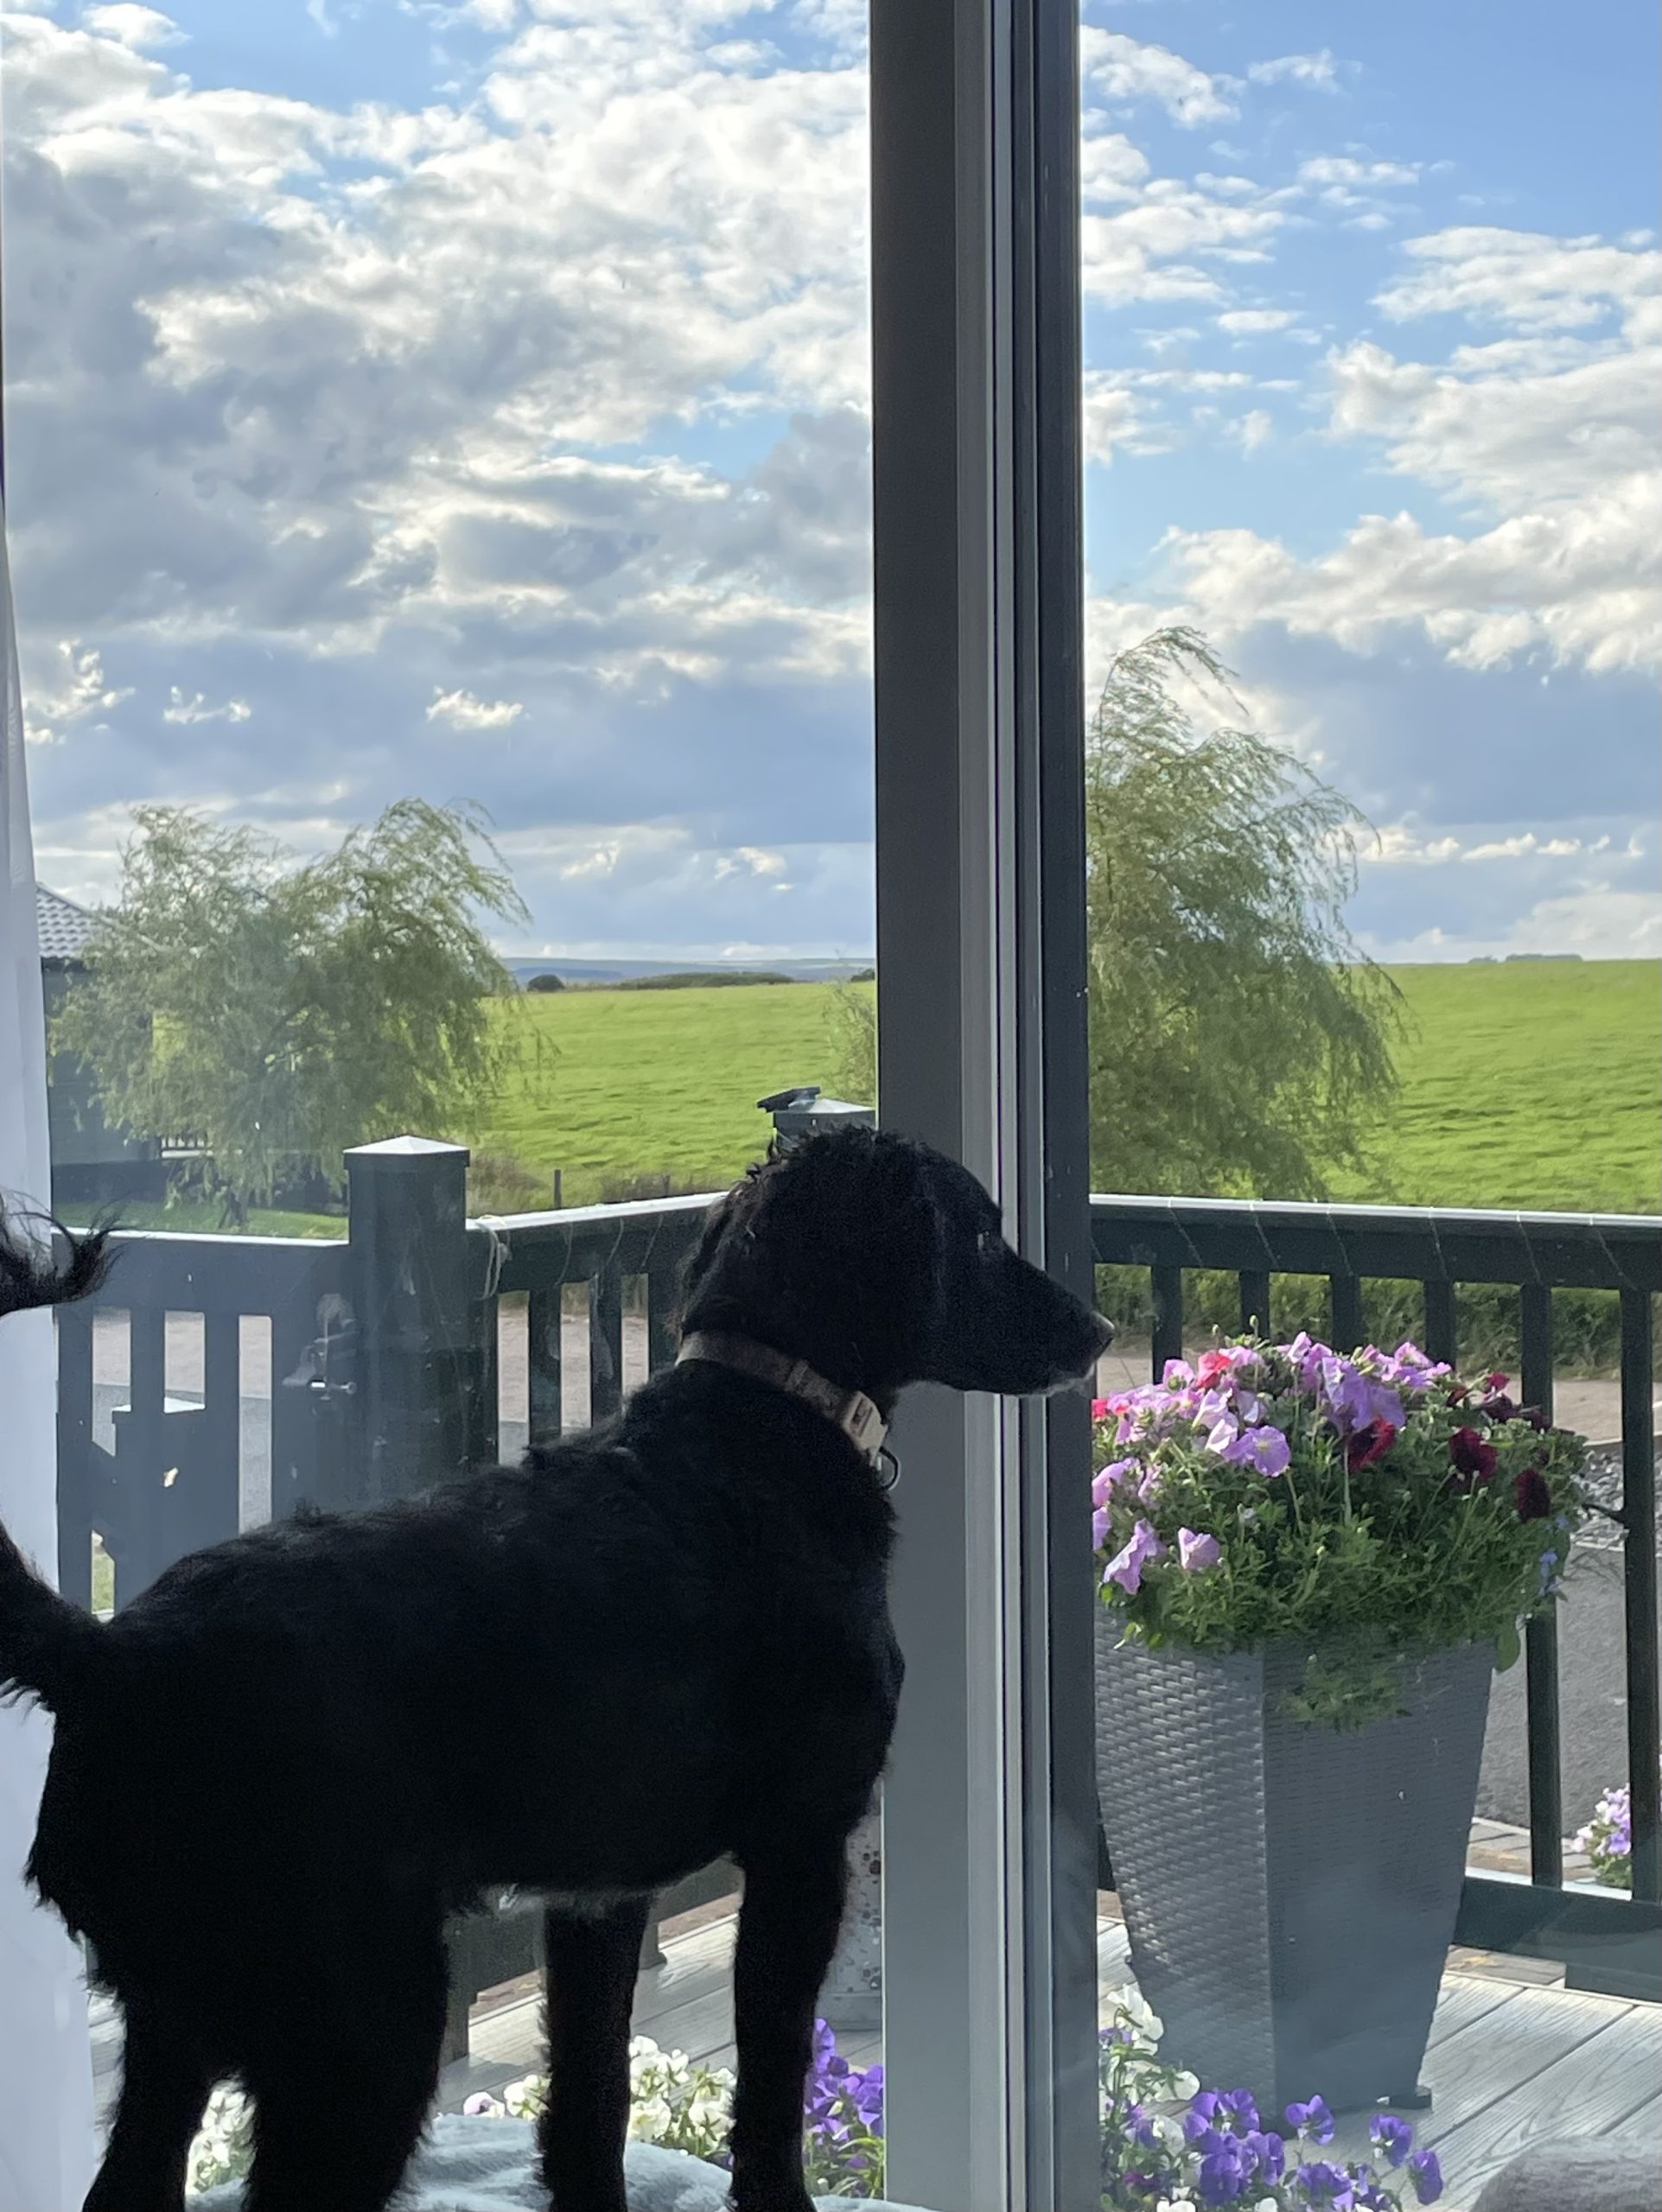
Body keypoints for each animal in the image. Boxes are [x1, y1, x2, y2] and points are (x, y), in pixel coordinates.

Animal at [3, 1132, 1119, 2212]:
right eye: (980, 1235)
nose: (1101, 1329)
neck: (759, 1426)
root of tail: (115, 1654)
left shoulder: (599, 1894)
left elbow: (593, 2092)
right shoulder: (801, 1846)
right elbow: (769, 2086)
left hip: (183, 2017)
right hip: (362, 2023)